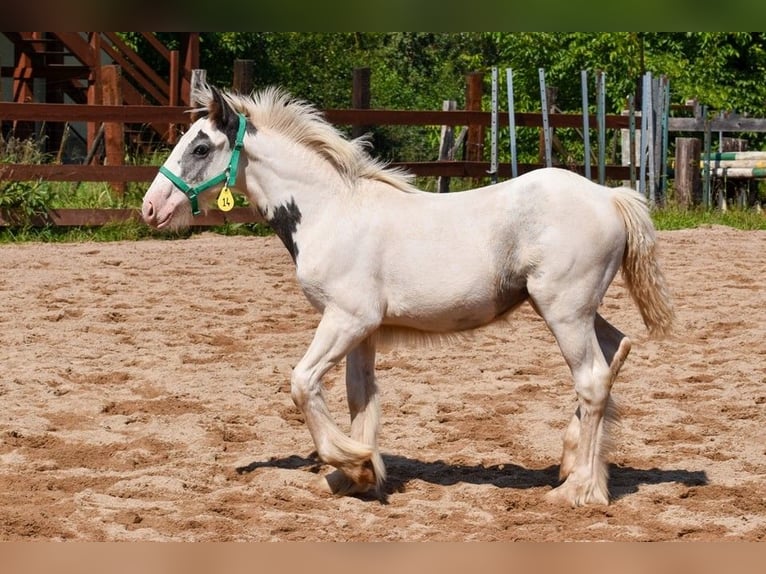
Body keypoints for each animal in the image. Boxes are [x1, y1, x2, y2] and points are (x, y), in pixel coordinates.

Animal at [141, 85, 676, 508]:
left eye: (201, 147)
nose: (150, 207)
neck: (332, 211)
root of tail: (611, 197)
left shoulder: (347, 319)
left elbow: (302, 383)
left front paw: (353, 464)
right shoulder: (363, 330)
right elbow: (360, 398)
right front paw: (356, 478)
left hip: (564, 310)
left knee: (592, 380)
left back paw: (579, 491)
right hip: (578, 310)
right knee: (616, 350)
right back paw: (572, 466)